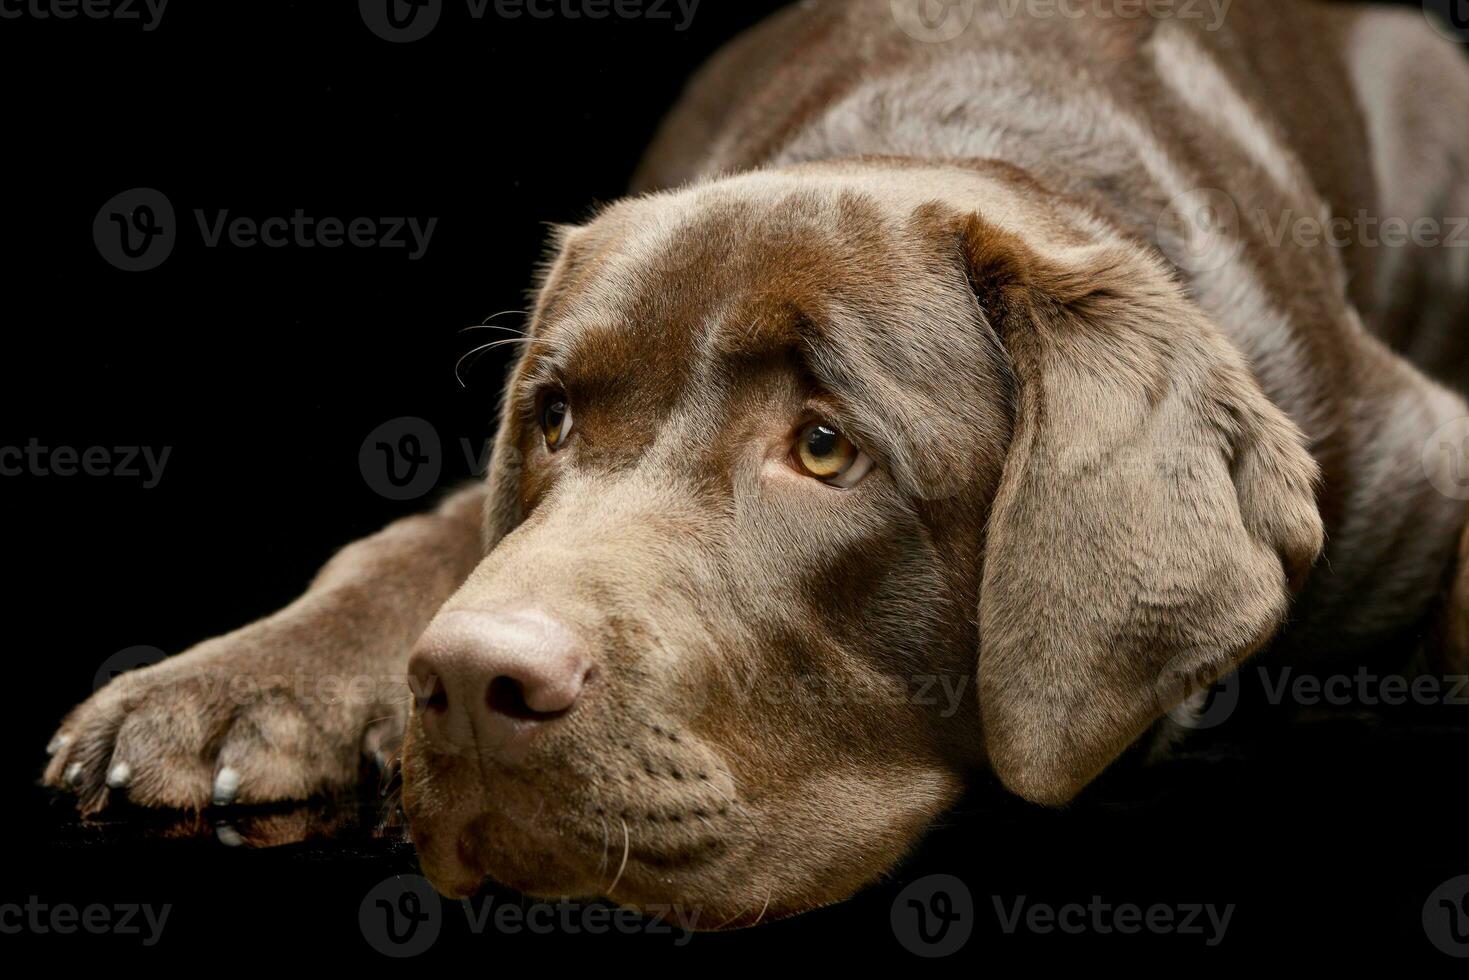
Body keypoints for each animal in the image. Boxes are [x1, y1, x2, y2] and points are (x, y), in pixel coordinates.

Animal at [40, 0, 1469, 934]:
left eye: (824, 448)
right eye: (553, 419)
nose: (466, 680)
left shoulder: (1407, 456)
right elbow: (418, 542)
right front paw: (230, 686)